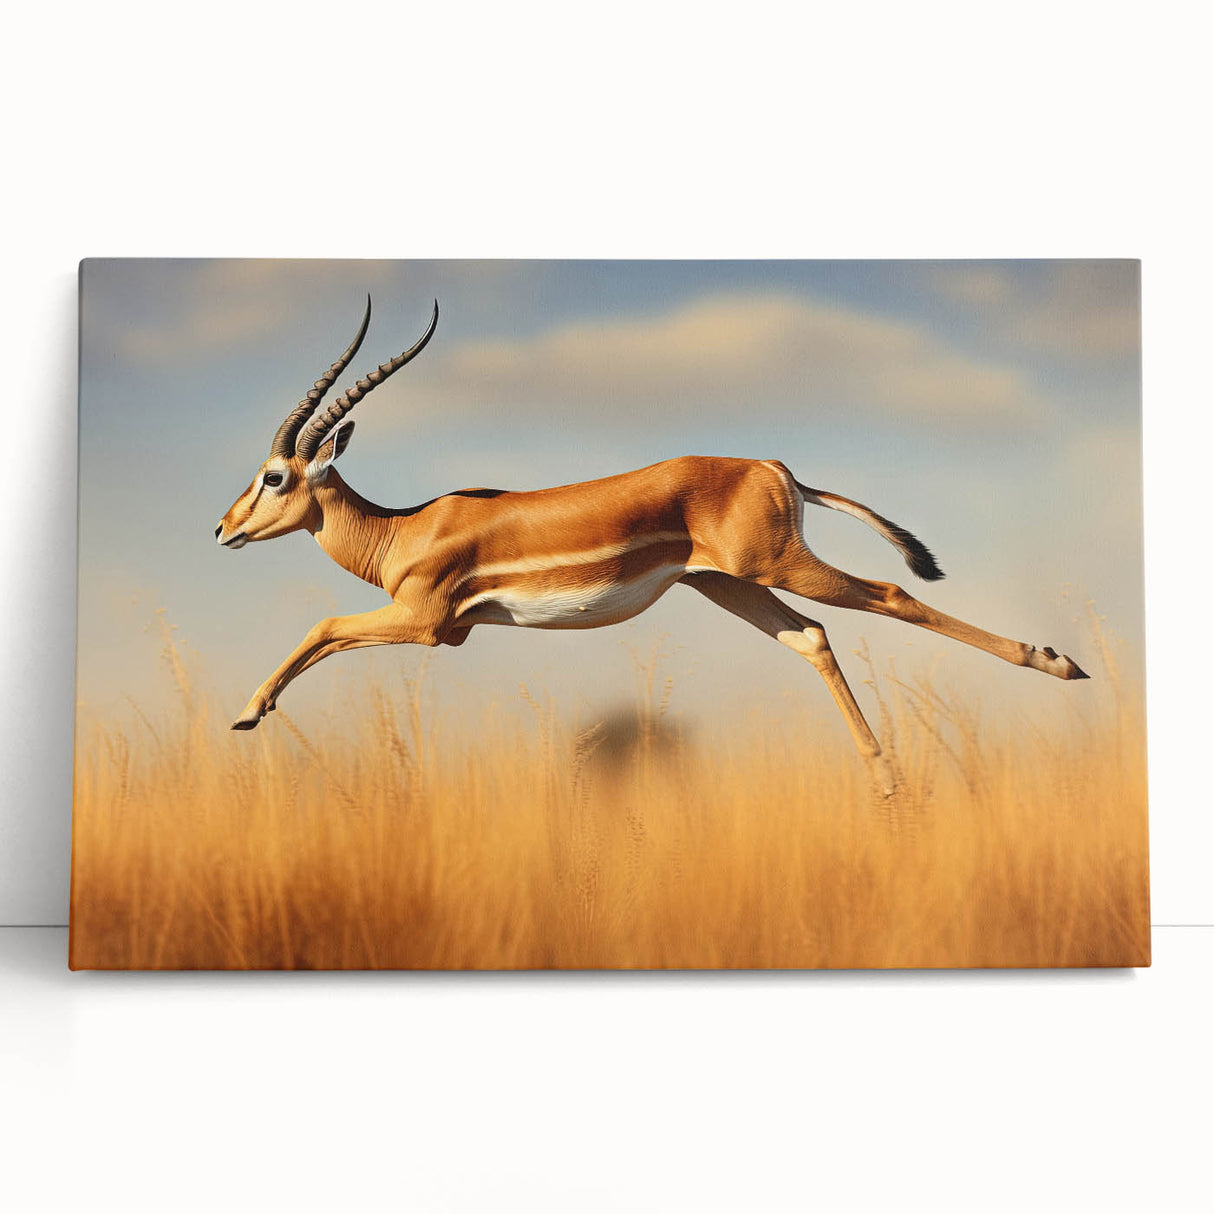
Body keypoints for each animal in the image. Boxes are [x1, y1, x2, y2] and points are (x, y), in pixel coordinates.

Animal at [217, 297, 1088, 792]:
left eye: (273, 476)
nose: (222, 528)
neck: (403, 528)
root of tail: (775, 467)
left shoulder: (430, 624)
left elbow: (323, 626)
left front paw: (247, 713)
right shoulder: (434, 628)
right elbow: (329, 635)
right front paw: (253, 712)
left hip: (777, 566)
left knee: (893, 595)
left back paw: (1058, 662)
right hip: (727, 584)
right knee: (812, 637)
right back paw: (886, 779)